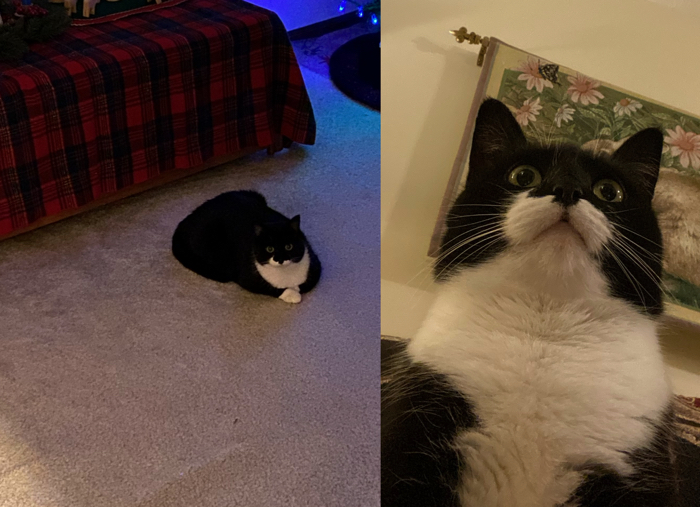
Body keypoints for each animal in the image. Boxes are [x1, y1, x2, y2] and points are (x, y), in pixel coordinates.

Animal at [171, 190, 322, 302]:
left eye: (288, 246)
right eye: (270, 249)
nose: (280, 259)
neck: (286, 274)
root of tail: (183, 223)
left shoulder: (315, 264)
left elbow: (306, 284)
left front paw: (296, 289)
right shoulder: (247, 278)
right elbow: (269, 288)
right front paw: (292, 294)